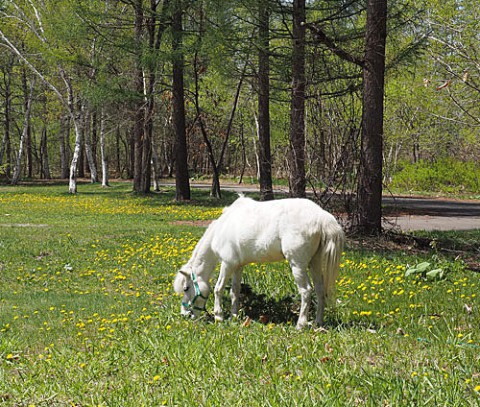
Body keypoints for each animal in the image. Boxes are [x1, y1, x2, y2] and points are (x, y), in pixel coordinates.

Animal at [174, 196, 344, 330]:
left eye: (186, 288)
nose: (185, 314)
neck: (221, 229)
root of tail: (321, 217)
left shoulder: (227, 264)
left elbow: (218, 289)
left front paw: (219, 316)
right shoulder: (237, 266)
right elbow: (234, 291)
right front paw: (234, 316)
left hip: (298, 265)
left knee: (306, 291)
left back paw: (300, 324)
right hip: (315, 263)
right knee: (320, 290)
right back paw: (318, 322)